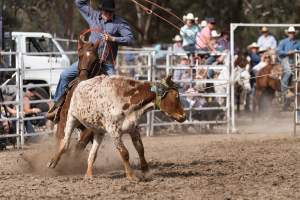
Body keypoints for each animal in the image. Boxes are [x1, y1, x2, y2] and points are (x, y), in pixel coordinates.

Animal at [48, 74, 186, 180]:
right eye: (176, 96)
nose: (184, 116)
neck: (127, 99)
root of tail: (78, 84)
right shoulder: (114, 131)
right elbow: (124, 153)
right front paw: (131, 176)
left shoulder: (133, 129)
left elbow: (140, 149)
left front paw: (146, 171)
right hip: (71, 118)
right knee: (65, 142)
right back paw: (53, 161)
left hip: (98, 131)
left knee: (93, 153)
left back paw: (88, 175)